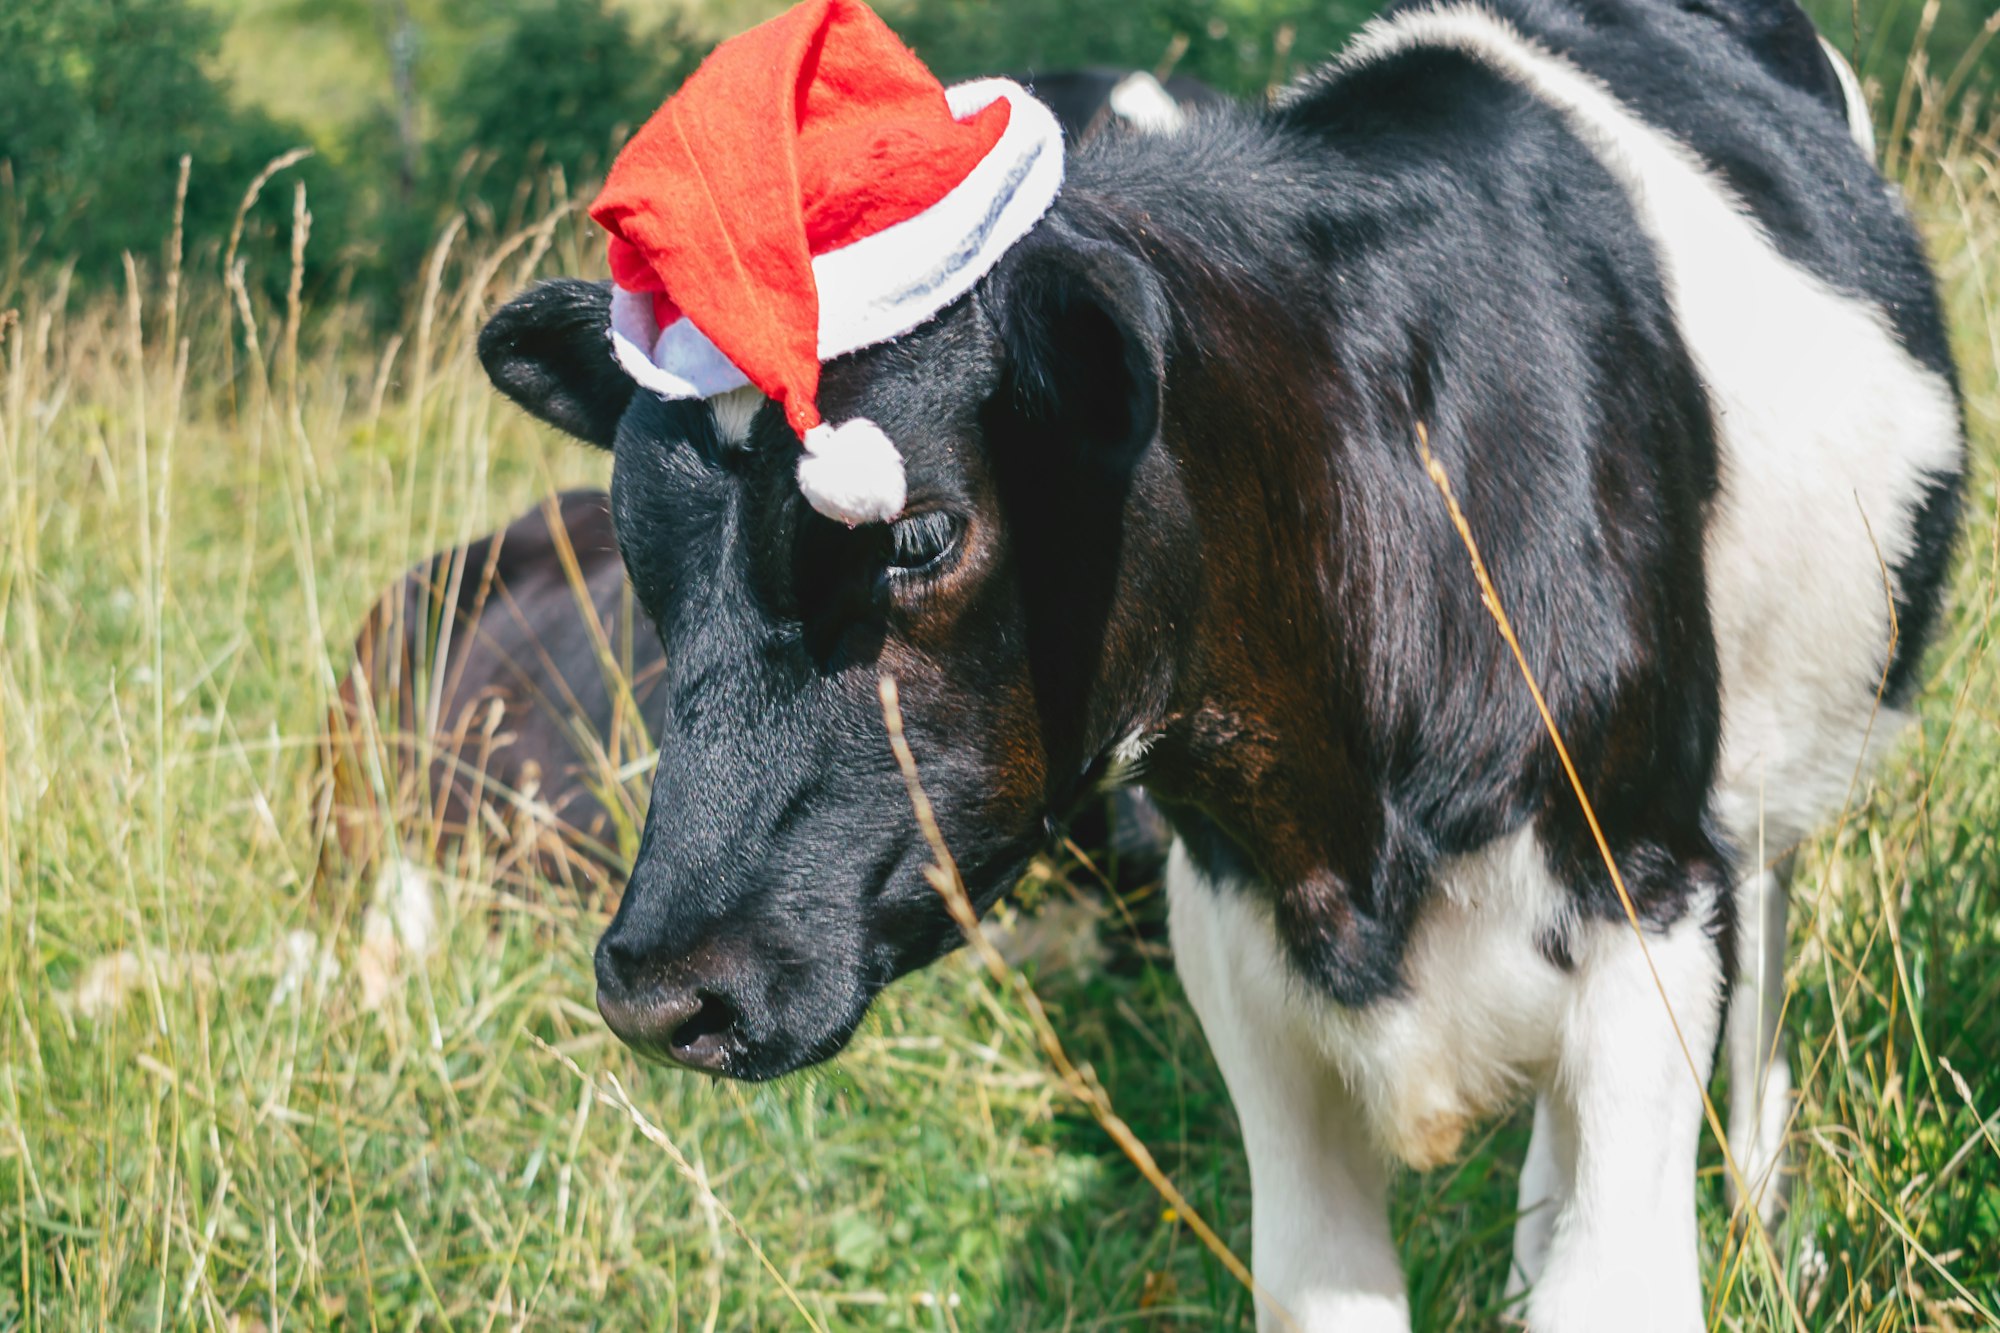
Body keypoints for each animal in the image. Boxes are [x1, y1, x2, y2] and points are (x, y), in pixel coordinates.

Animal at [476, 0, 1960, 1320]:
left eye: (917, 533)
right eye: (637, 538)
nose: (661, 991)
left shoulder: (1642, 885)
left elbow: (1615, 1286)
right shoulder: (1236, 937)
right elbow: (1322, 1284)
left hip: (1751, 797)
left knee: (1758, 974)